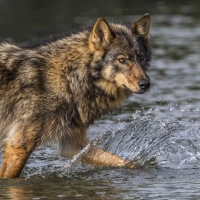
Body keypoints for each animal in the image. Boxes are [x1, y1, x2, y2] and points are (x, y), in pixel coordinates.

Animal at [0, 13, 151, 178]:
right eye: (122, 60)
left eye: (141, 57)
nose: (145, 83)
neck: (68, 78)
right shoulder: (19, 146)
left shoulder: (71, 143)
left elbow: (123, 162)